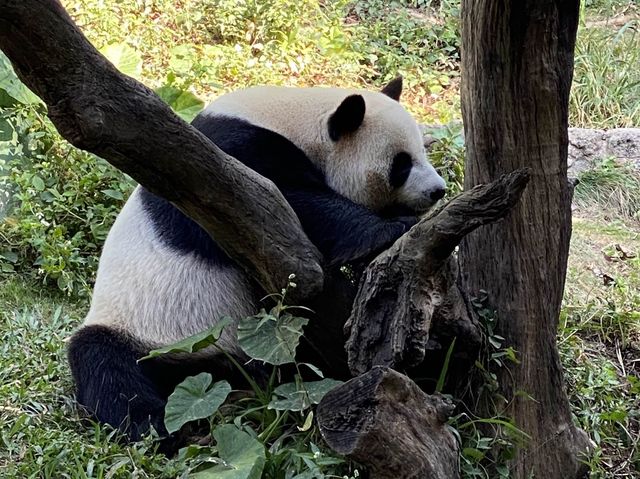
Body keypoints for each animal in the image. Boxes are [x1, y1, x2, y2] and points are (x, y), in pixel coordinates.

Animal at [65, 78, 444, 442]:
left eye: (422, 150)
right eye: (402, 164)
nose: (438, 190)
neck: (297, 118)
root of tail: (212, 368)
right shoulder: (221, 165)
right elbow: (291, 201)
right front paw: (391, 227)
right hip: (142, 330)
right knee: (105, 365)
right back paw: (154, 427)